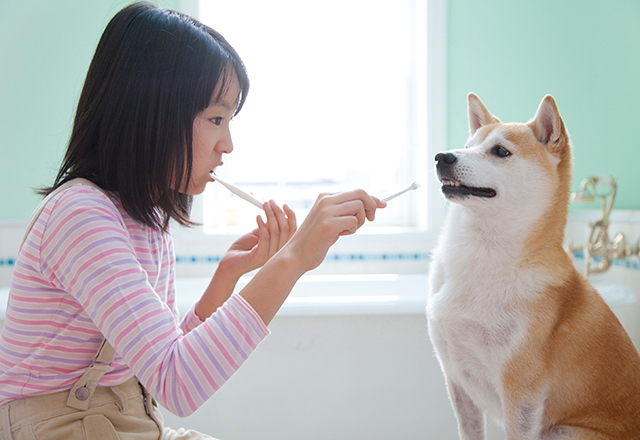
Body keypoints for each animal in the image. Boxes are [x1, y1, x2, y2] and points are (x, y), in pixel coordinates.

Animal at [428, 94, 640, 438]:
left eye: (500, 151)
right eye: (469, 145)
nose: (442, 157)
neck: (484, 261)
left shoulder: (521, 391)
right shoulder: (457, 381)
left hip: (561, 430)